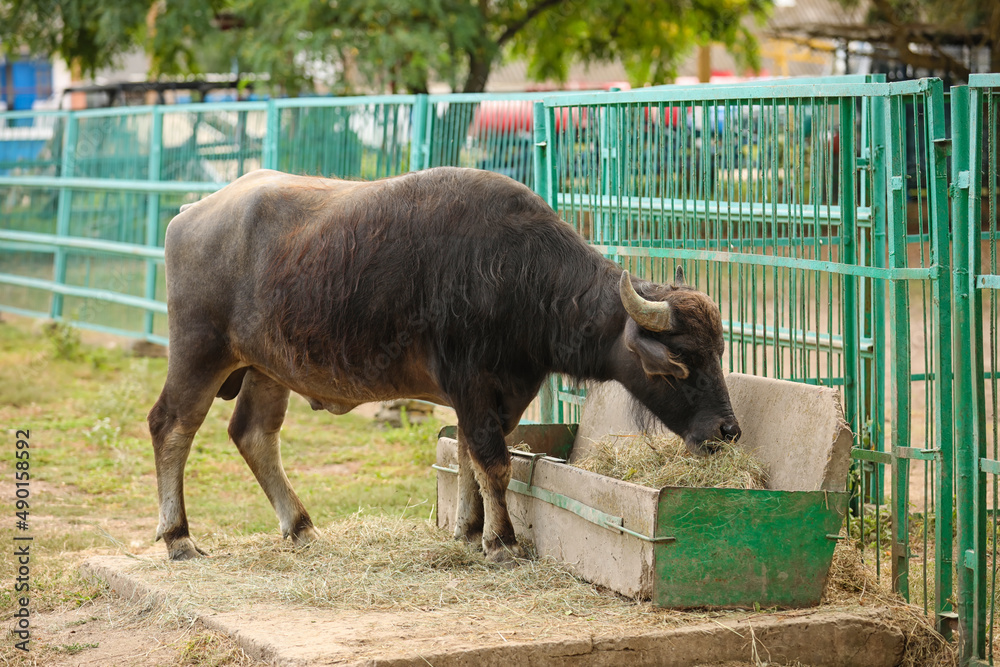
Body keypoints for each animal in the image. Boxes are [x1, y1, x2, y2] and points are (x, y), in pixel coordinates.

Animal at [150, 166, 744, 564]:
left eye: (717, 353)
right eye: (678, 364)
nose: (727, 431)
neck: (520, 274)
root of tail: (189, 215)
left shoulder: (501, 394)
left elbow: (468, 459)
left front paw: (469, 529)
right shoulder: (473, 385)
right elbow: (494, 462)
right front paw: (502, 542)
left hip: (268, 369)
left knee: (253, 434)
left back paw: (299, 527)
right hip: (199, 351)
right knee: (171, 425)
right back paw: (179, 537)